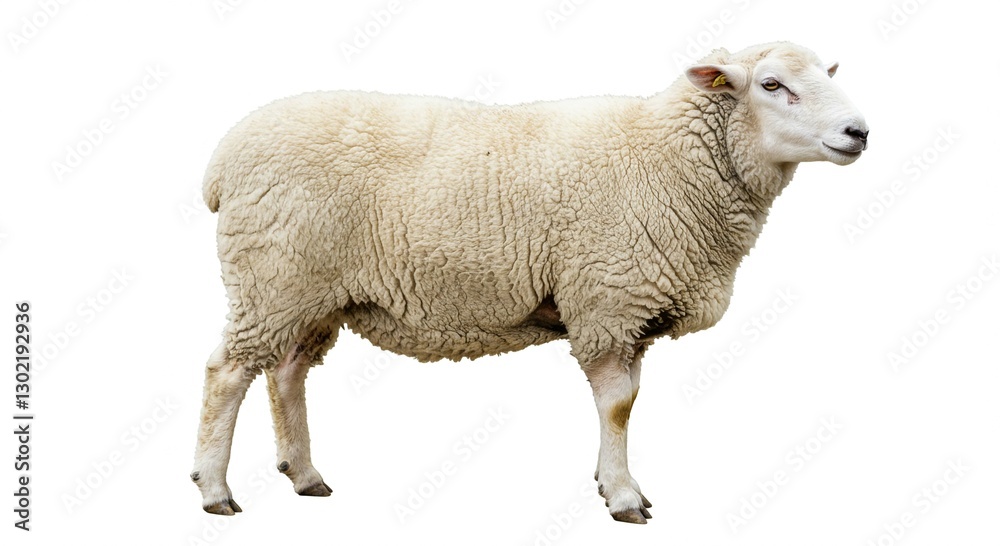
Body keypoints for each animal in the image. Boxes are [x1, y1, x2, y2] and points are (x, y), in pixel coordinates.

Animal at [191, 41, 868, 524]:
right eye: (772, 85)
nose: (859, 131)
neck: (668, 161)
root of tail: (222, 161)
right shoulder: (605, 303)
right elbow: (618, 405)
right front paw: (624, 497)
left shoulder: (630, 313)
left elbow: (628, 402)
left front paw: (610, 481)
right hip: (271, 277)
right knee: (228, 373)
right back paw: (214, 490)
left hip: (310, 291)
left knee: (287, 372)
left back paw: (305, 476)